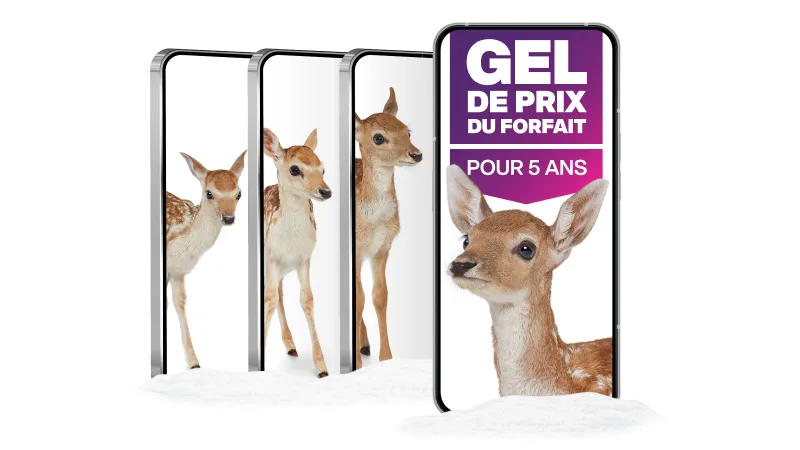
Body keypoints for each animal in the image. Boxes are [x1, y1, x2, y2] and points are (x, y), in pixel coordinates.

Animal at [166, 150, 247, 370]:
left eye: (239, 193)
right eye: (209, 193)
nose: (228, 218)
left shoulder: (178, 271)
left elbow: (179, 302)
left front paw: (194, 363)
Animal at [262, 127, 332, 378]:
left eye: (323, 168)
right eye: (295, 169)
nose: (325, 191)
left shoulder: (305, 258)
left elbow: (307, 299)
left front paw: (321, 367)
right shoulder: (271, 256)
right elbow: (269, 299)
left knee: (281, 294)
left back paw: (291, 346)